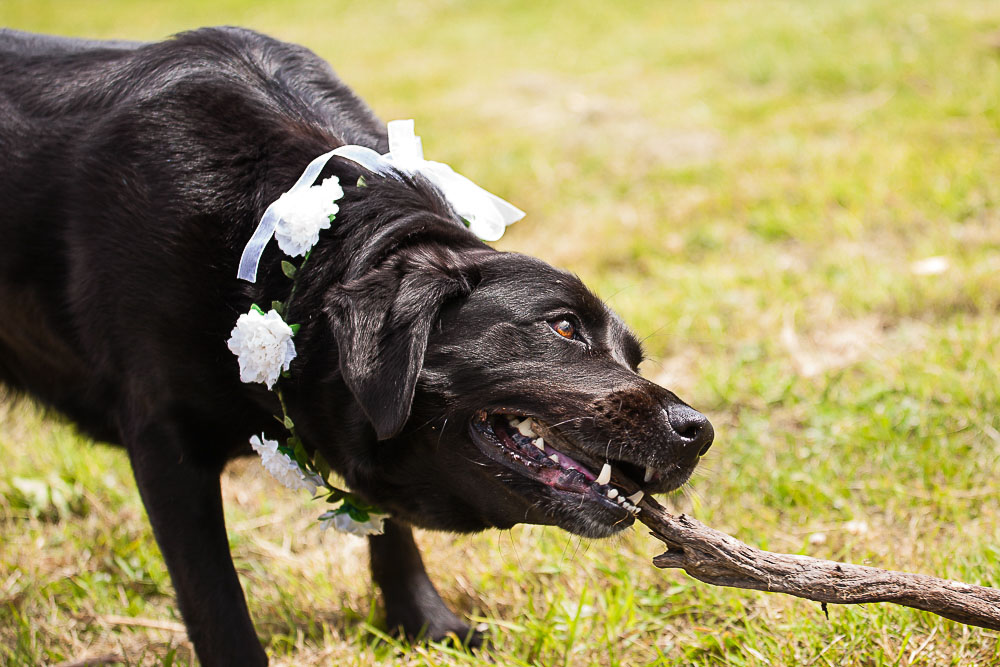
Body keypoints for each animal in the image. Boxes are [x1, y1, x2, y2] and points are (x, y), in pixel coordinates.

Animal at [3, 26, 716, 664]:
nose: (698, 431)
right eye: (563, 327)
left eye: (632, 357)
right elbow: (215, 600)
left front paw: (425, 624)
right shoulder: (165, 445)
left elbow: (386, 522)